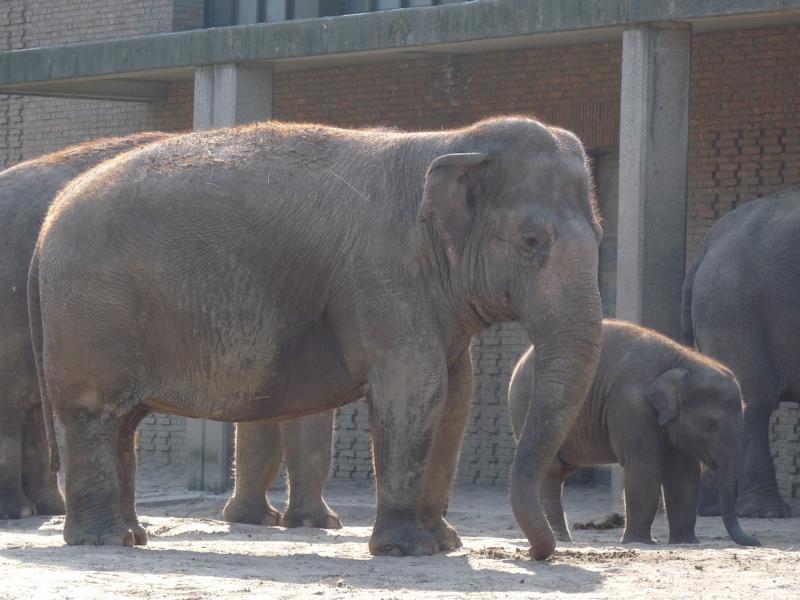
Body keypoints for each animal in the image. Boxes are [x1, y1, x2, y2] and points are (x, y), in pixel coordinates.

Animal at [29, 116, 603, 558]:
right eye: (532, 241)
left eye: (599, 234)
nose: (536, 552)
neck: (451, 141)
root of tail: (48, 222)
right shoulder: (382, 278)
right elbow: (415, 389)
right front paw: (409, 550)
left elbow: (456, 396)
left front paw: (446, 543)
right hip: (90, 315)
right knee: (96, 414)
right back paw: (102, 541)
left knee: (123, 425)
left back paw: (133, 536)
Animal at [508, 319, 760, 547]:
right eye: (710, 424)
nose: (755, 540)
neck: (684, 360)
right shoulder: (632, 404)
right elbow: (644, 467)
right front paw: (640, 542)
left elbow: (684, 473)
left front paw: (686, 543)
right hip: (524, 405)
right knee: (551, 472)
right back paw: (562, 539)